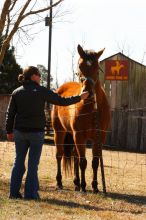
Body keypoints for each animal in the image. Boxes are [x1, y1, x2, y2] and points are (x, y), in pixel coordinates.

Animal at [50, 44, 110, 192]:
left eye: (97, 68)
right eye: (79, 68)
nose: (87, 93)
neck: (93, 108)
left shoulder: (99, 137)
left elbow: (95, 162)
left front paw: (95, 186)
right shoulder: (79, 135)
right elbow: (83, 161)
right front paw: (84, 186)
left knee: (75, 156)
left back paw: (76, 183)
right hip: (59, 132)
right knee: (59, 155)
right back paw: (60, 182)